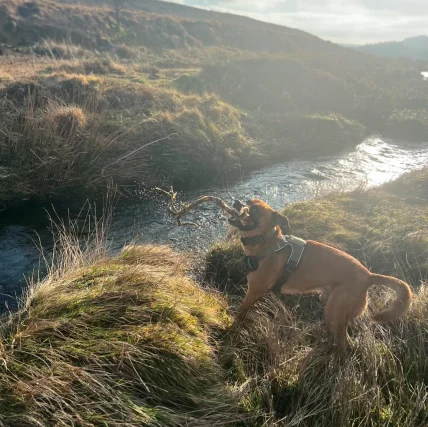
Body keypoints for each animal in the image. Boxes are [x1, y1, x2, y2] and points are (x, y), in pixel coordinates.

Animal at [229, 199, 412, 350]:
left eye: (256, 210)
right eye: (247, 201)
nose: (236, 202)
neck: (268, 244)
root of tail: (368, 276)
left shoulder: (254, 291)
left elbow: (241, 311)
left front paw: (232, 327)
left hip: (334, 312)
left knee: (345, 344)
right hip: (330, 303)